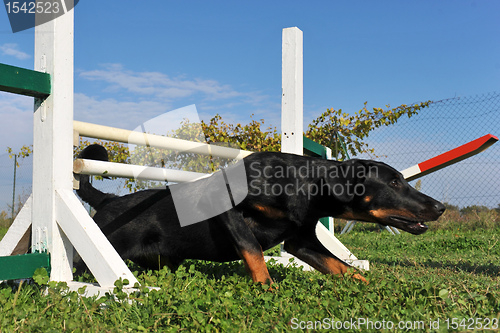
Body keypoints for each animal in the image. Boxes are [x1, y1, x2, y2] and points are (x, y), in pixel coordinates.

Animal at [75, 144, 446, 284]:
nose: (440, 207)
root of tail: (106, 201)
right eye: (394, 182)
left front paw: (371, 285)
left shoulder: (301, 241)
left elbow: (341, 266)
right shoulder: (228, 207)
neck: (306, 185)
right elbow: (251, 248)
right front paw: (267, 287)